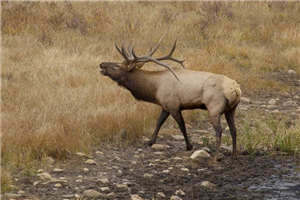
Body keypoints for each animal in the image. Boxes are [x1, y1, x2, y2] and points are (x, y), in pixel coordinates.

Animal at [99, 38, 243, 158]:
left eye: (116, 66)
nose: (101, 64)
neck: (154, 90)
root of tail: (235, 89)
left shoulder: (173, 105)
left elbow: (182, 125)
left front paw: (189, 146)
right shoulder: (165, 106)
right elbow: (159, 122)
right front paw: (150, 142)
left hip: (214, 107)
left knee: (219, 130)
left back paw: (216, 156)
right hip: (231, 109)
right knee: (234, 129)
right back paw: (234, 154)